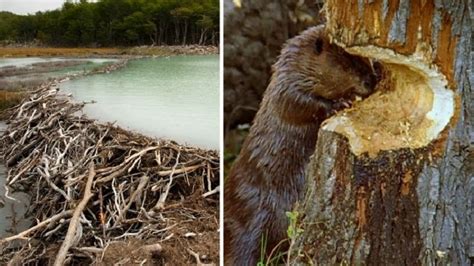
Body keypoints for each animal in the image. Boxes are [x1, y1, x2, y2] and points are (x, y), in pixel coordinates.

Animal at [224, 25, 380, 266]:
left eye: (365, 59)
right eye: (347, 63)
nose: (371, 81)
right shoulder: (286, 87)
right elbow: (301, 103)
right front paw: (340, 103)